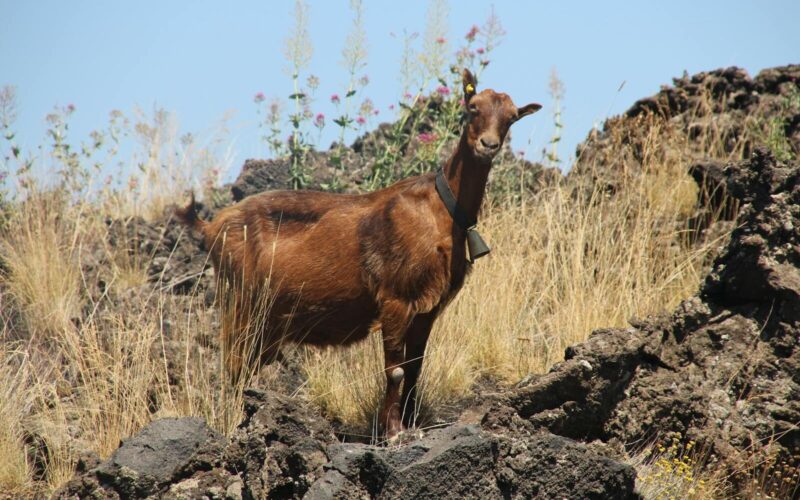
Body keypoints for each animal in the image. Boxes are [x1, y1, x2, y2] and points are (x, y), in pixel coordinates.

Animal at [176, 69, 541, 438]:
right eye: (473, 107)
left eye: (512, 117)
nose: (488, 145)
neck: (442, 209)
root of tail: (211, 226)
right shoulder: (395, 299)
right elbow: (395, 370)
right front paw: (392, 431)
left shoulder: (427, 308)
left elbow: (414, 368)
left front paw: (410, 424)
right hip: (242, 300)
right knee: (233, 364)